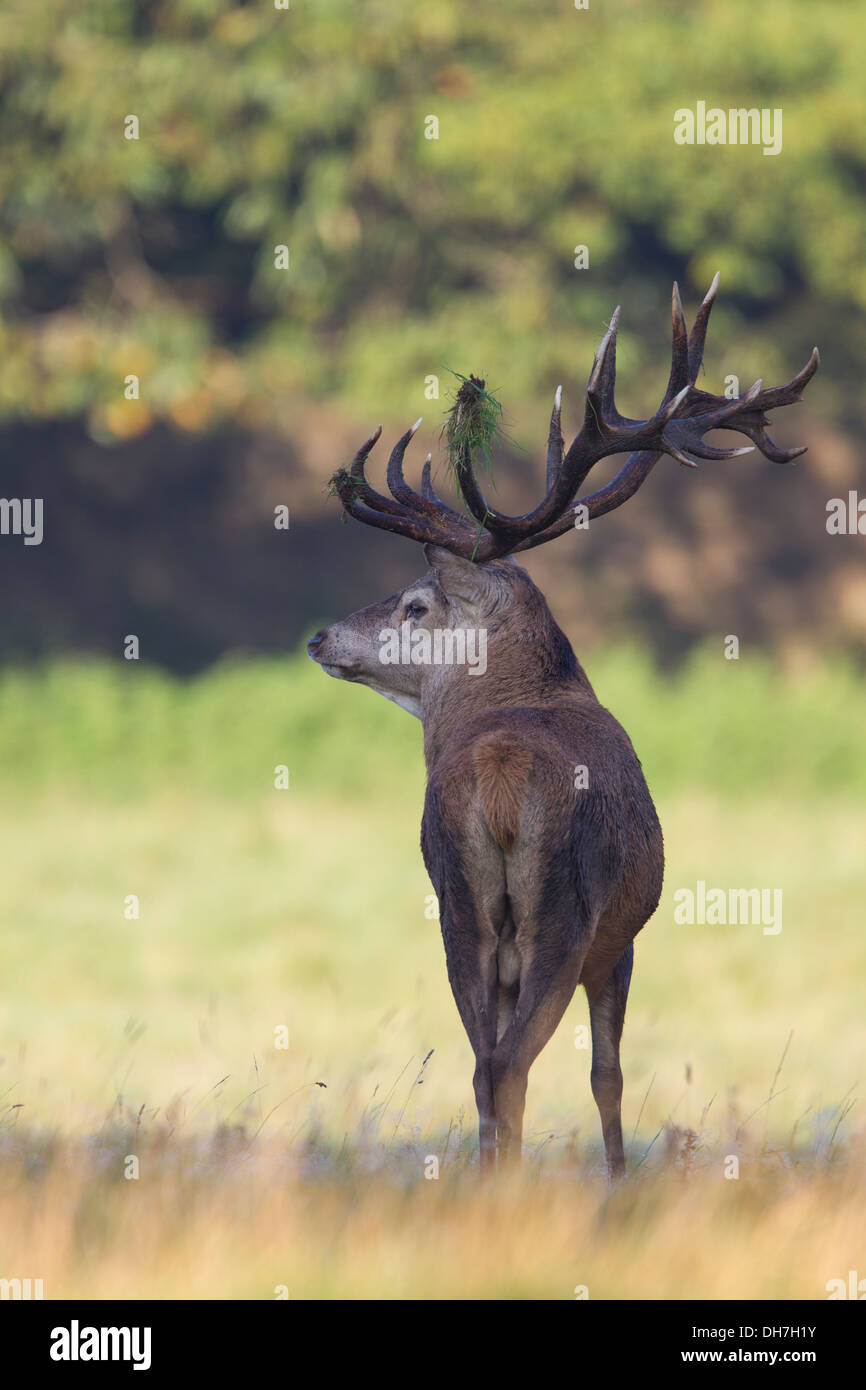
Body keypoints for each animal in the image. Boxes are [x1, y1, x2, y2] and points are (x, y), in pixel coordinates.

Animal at [307, 277, 818, 1177]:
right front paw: (619, 1180)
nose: (320, 638)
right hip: (566, 911)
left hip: (461, 903)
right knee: (513, 1062)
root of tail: (501, 782)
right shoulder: (623, 938)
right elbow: (607, 1073)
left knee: (485, 1063)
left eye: (415, 604)